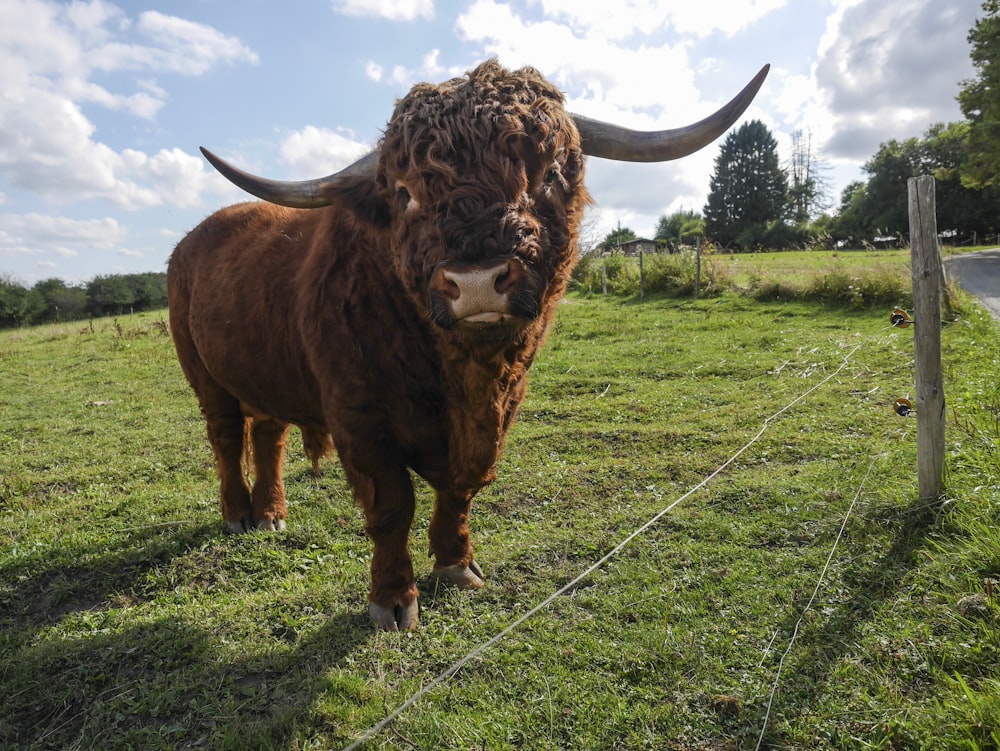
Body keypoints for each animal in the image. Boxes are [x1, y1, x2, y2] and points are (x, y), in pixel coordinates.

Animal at [168, 58, 768, 628]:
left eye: (550, 172)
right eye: (404, 192)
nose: (477, 281)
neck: (462, 381)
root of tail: (192, 240)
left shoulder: (503, 409)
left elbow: (462, 491)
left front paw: (457, 566)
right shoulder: (358, 419)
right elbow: (392, 507)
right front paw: (393, 601)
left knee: (268, 435)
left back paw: (272, 512)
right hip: (203, 375)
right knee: (226, 436)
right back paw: (239, 514)